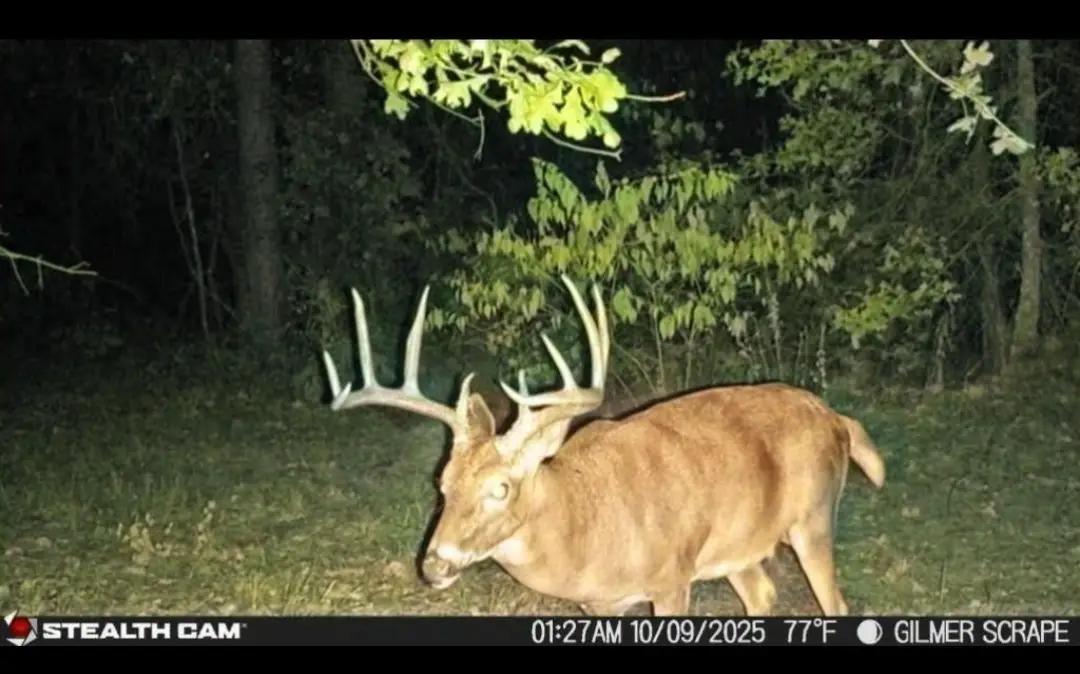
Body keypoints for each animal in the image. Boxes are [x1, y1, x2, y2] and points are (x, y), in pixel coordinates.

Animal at [321, 275, 886, 617]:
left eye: (502, 488)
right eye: (442, 484)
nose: (434, 566)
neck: (584, 525)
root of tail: (833, 415)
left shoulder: (671, 578)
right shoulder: (599, 603)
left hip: (813, 518)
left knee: (835, 604)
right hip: (739, 546)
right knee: (763, 595)